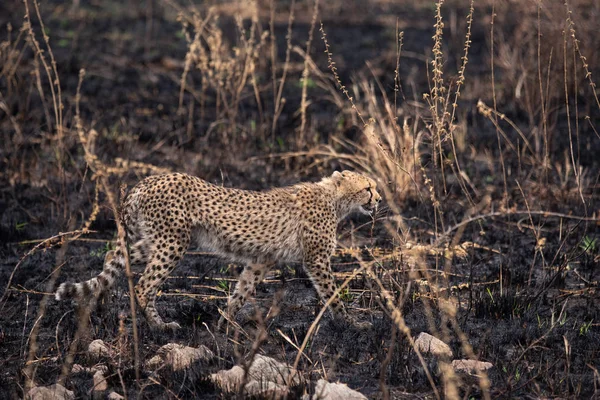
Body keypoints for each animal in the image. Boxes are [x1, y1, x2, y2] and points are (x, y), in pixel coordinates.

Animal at [57, 170, 384, 330]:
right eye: (368, 187)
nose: (379, 199)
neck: (334, 198)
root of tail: (146, 181)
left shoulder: (262, 260)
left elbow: (242, 290)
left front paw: (225, 321)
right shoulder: (316, 260)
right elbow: (333, 295)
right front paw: (352, 323)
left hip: (157, 239)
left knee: (113, 259)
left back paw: (101, 305)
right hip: (172, 243)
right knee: (143, 285)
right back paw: (159, 326)